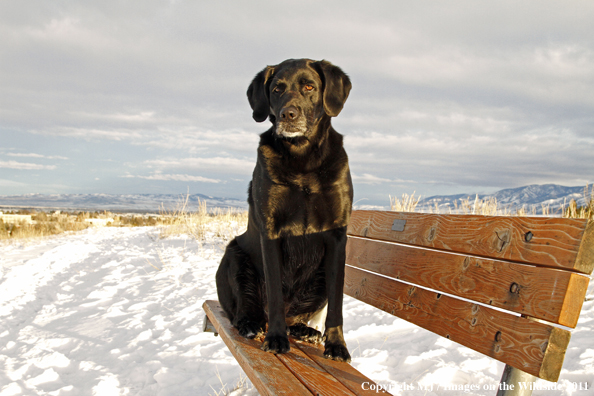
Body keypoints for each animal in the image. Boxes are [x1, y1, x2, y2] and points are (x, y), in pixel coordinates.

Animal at [214, 58, 350, 362]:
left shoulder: (337, 237)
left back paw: (305, 330)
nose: (288, 114)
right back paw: (251, 324)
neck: (303, 158)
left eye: (309, 86)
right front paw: (276, 339)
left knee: (297, 317)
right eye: (277, 89)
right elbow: (275, 293)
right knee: (245, 309)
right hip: (235, 256)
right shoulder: (271, 233)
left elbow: (337, 305)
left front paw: (337, 345)